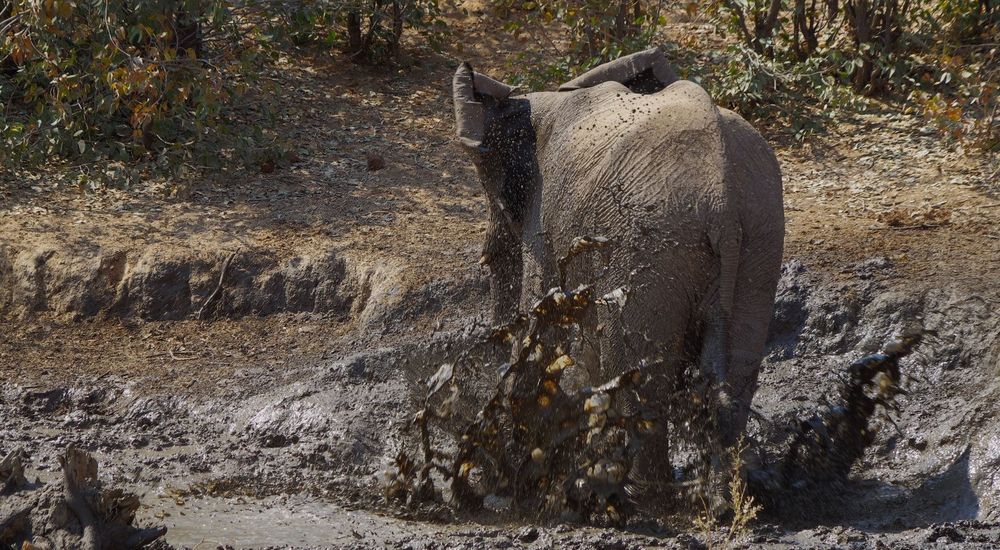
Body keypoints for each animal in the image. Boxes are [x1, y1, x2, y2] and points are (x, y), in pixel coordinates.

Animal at [456, 48, 788, 462]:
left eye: (497, 199)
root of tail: (722, 202)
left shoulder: (544, 219)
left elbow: (543, 316)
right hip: (760, 243)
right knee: (734, 391)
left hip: (650, 249)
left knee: (639, 400)